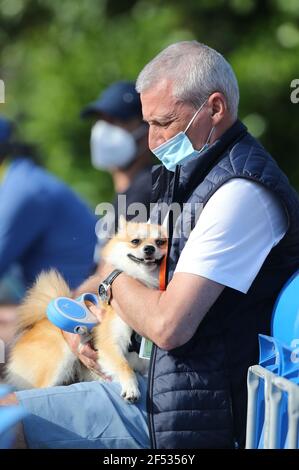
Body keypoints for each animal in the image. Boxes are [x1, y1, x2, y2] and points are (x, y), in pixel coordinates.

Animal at [5, 218, 168, 402]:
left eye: (160, 242)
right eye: (135, 241)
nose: (149, 248)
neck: (145, 282)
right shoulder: (110, 342)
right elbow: (124, 365)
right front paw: (131, 388)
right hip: (60, 360)